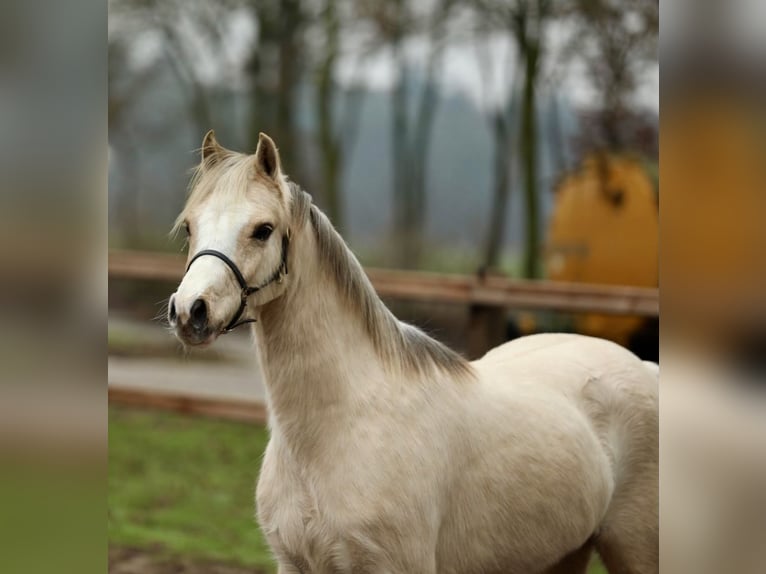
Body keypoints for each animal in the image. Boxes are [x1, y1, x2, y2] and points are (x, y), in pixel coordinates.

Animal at [168, 132, 660, 574]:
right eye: (190, 226)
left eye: (263, 230)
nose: (191, 311)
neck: (335, 429)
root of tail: (643, 365)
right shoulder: (293, 565)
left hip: (634, 549)